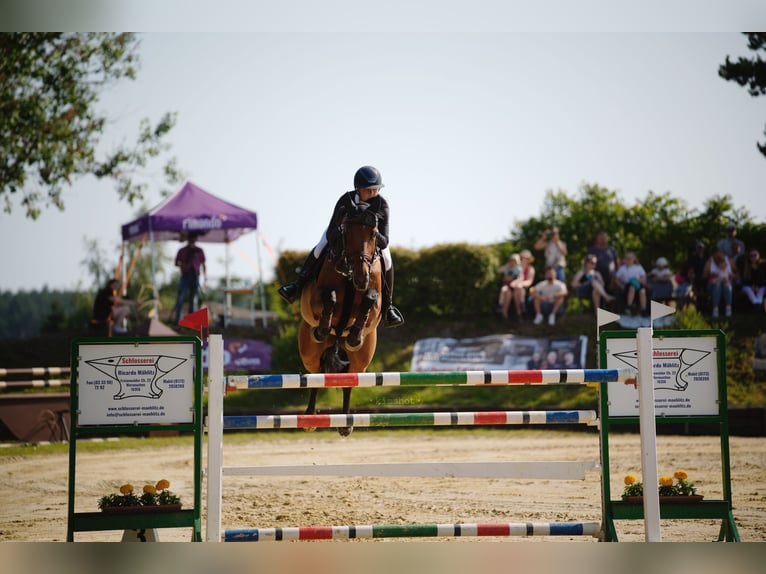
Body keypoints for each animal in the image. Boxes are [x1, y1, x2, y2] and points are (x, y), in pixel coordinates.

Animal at [298, 202, 383, 436]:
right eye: (346, 231)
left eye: (374, 234)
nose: (361, 278)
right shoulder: (315, 297)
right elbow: (330, 297)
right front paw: (323, 328)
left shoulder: (376, 303)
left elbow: (371, 299)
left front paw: (354, 335)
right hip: (309, 353)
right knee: (316, 376)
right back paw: (310, 418)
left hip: (360, 362)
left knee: (348, 382)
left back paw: (346, 423)